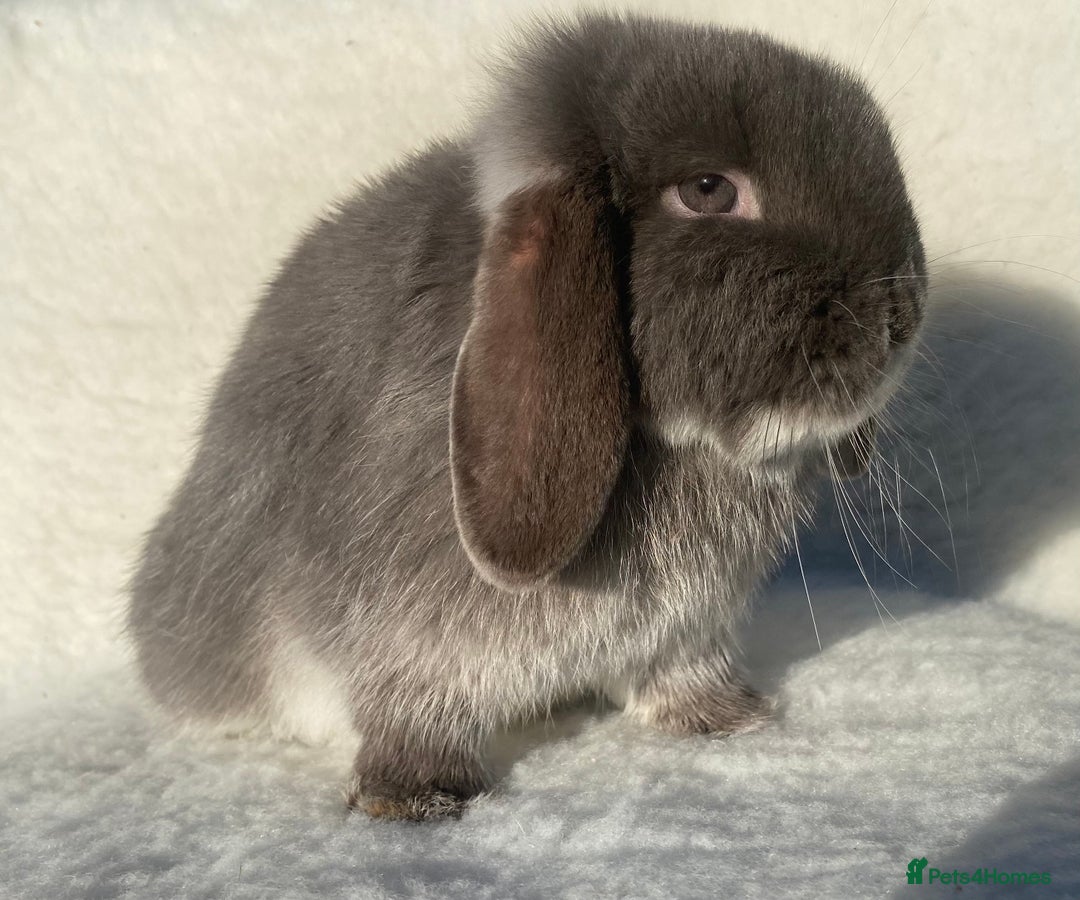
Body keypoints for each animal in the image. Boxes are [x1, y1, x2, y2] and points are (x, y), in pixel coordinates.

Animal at [128, 11, 927, 821]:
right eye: (708, 190)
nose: (904, 309)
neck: (688, 449)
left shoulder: (686, 632)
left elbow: (681, 675)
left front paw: (727, 718)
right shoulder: (411, 637)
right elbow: (411, 709)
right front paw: (417, 798)